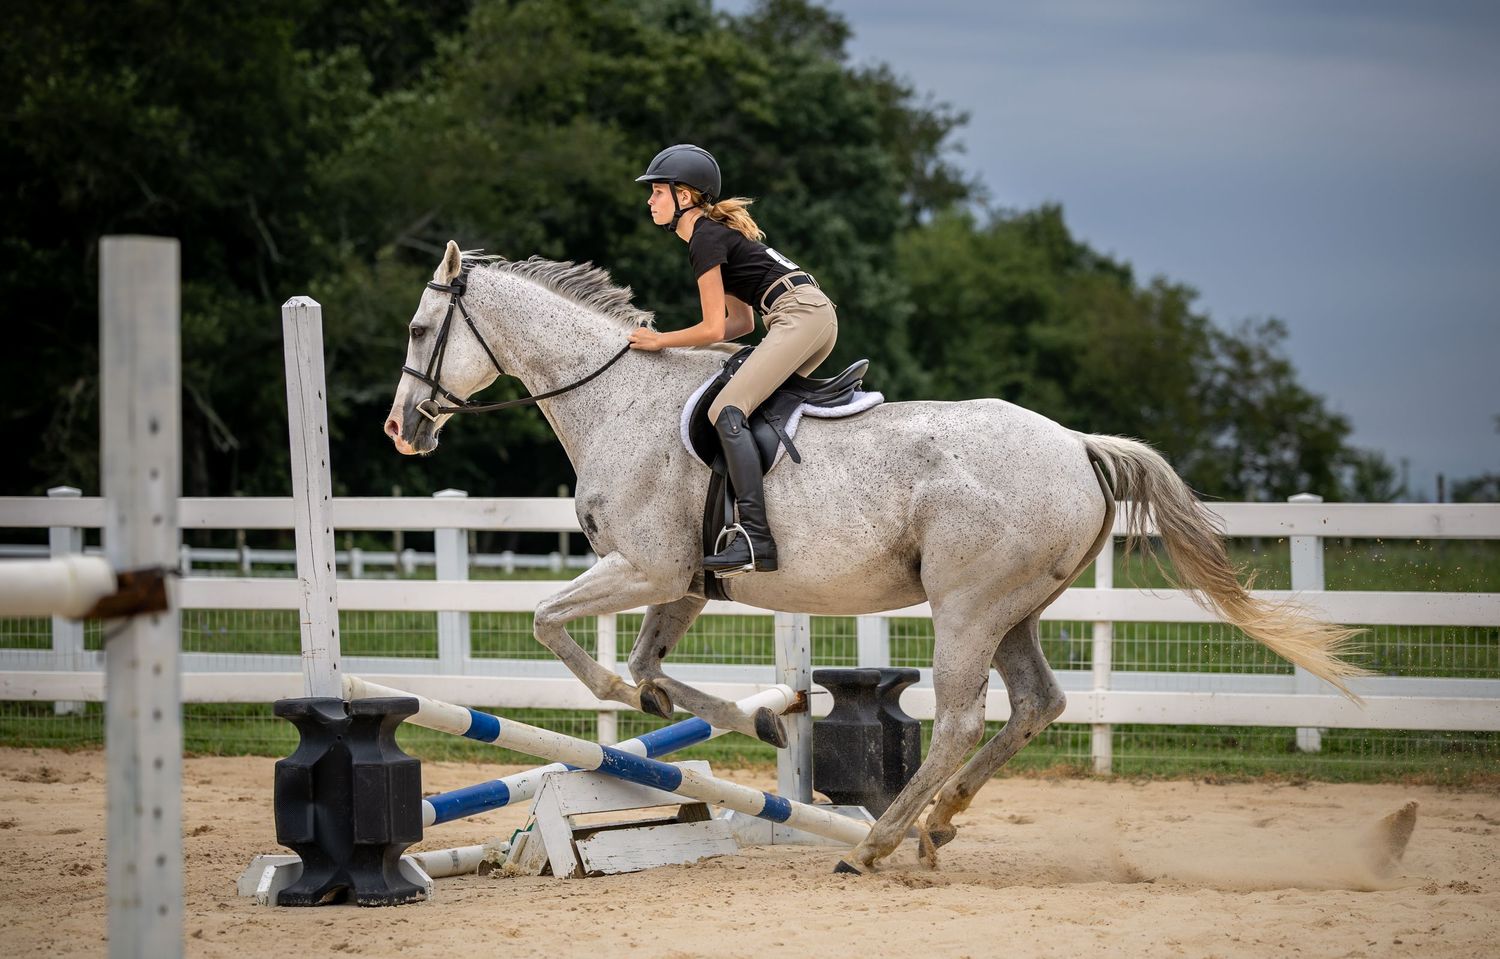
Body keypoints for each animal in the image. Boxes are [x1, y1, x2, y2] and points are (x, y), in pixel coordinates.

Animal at [383, 241, 1364, 873]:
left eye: (420, 328)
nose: (402, 429)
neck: (618, 399)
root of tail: (1078, 445)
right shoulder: (686, 584)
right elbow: (650, 667)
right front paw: (760, 722)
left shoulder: (647, 568)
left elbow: (558, 631)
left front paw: (659, 708)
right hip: (1014, 608)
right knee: (1035, 704)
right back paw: (939, 825)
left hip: (967, 605)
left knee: (966, 717)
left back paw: (878, 843)